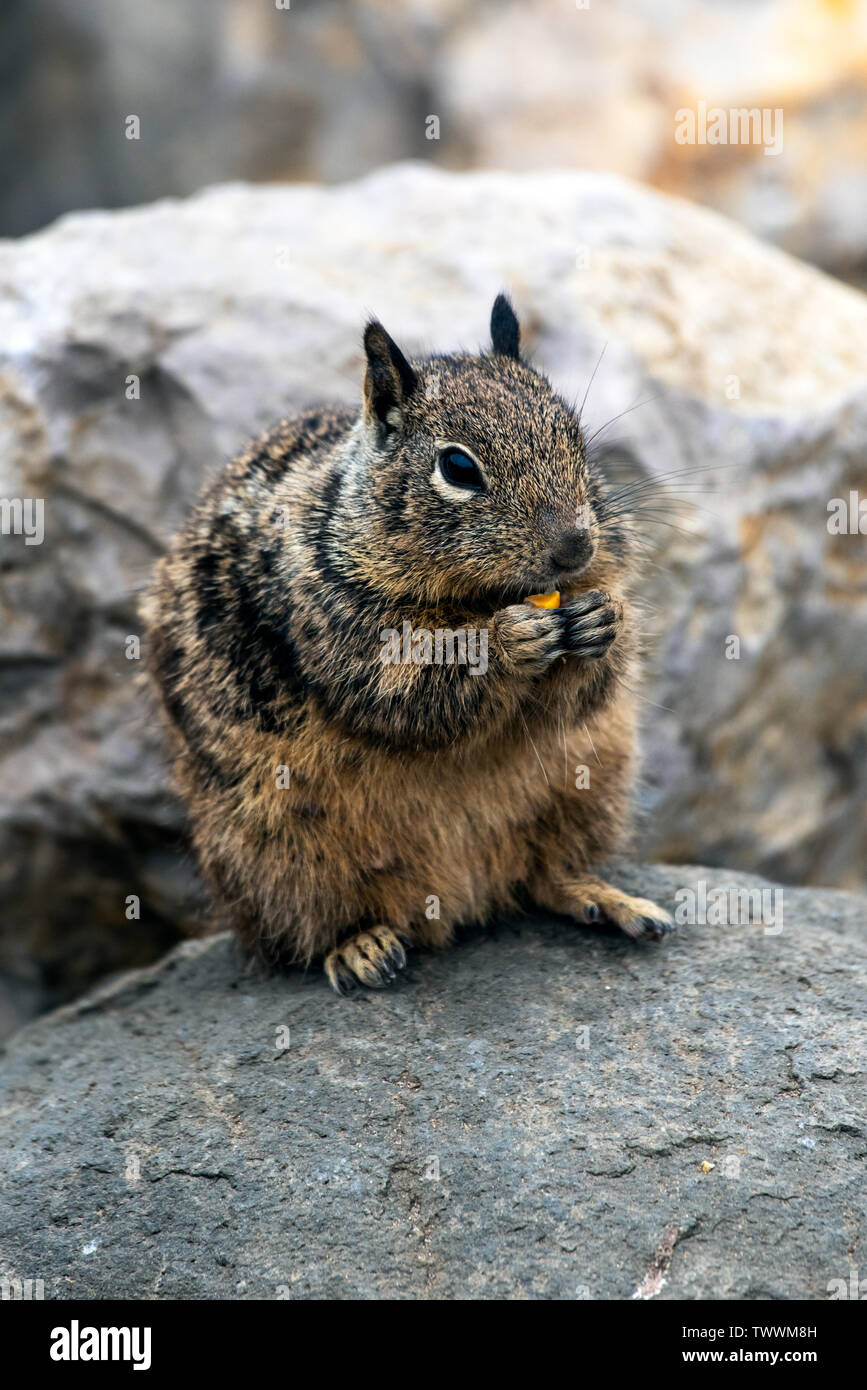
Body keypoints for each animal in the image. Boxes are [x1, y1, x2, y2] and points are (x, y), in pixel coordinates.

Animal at [143, 295, 673, 995]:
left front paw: (603, 622)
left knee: (543, 878)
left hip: (591, 786)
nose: (575, 548)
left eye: (576, 439)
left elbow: (583, 690)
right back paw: (362, 948)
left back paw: (609, 901)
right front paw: (508, 642)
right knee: (305, 932)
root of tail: (465, 895)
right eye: (458, 467)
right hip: (273, 849)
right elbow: (409, 699)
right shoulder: (346, 641)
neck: (478, 598)